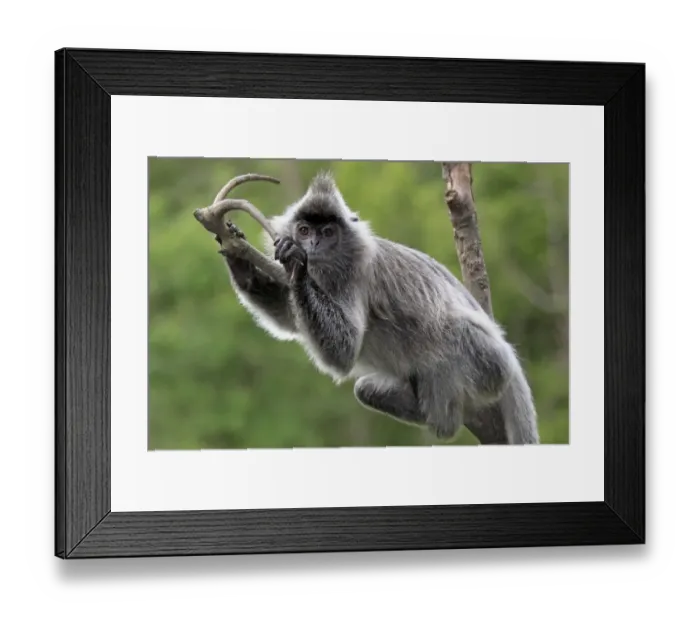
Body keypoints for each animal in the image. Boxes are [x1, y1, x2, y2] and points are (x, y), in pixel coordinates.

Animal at [215, 171, 540, 444]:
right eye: (304, 230)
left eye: (328, 232)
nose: (313, 245)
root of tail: (510, 359)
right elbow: (291, 320)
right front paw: (239, 260)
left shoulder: (356, 273)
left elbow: (344, 351)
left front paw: (297, 262)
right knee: (365, 389)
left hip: (487, 362)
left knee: (450, 335)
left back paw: (443, 422)